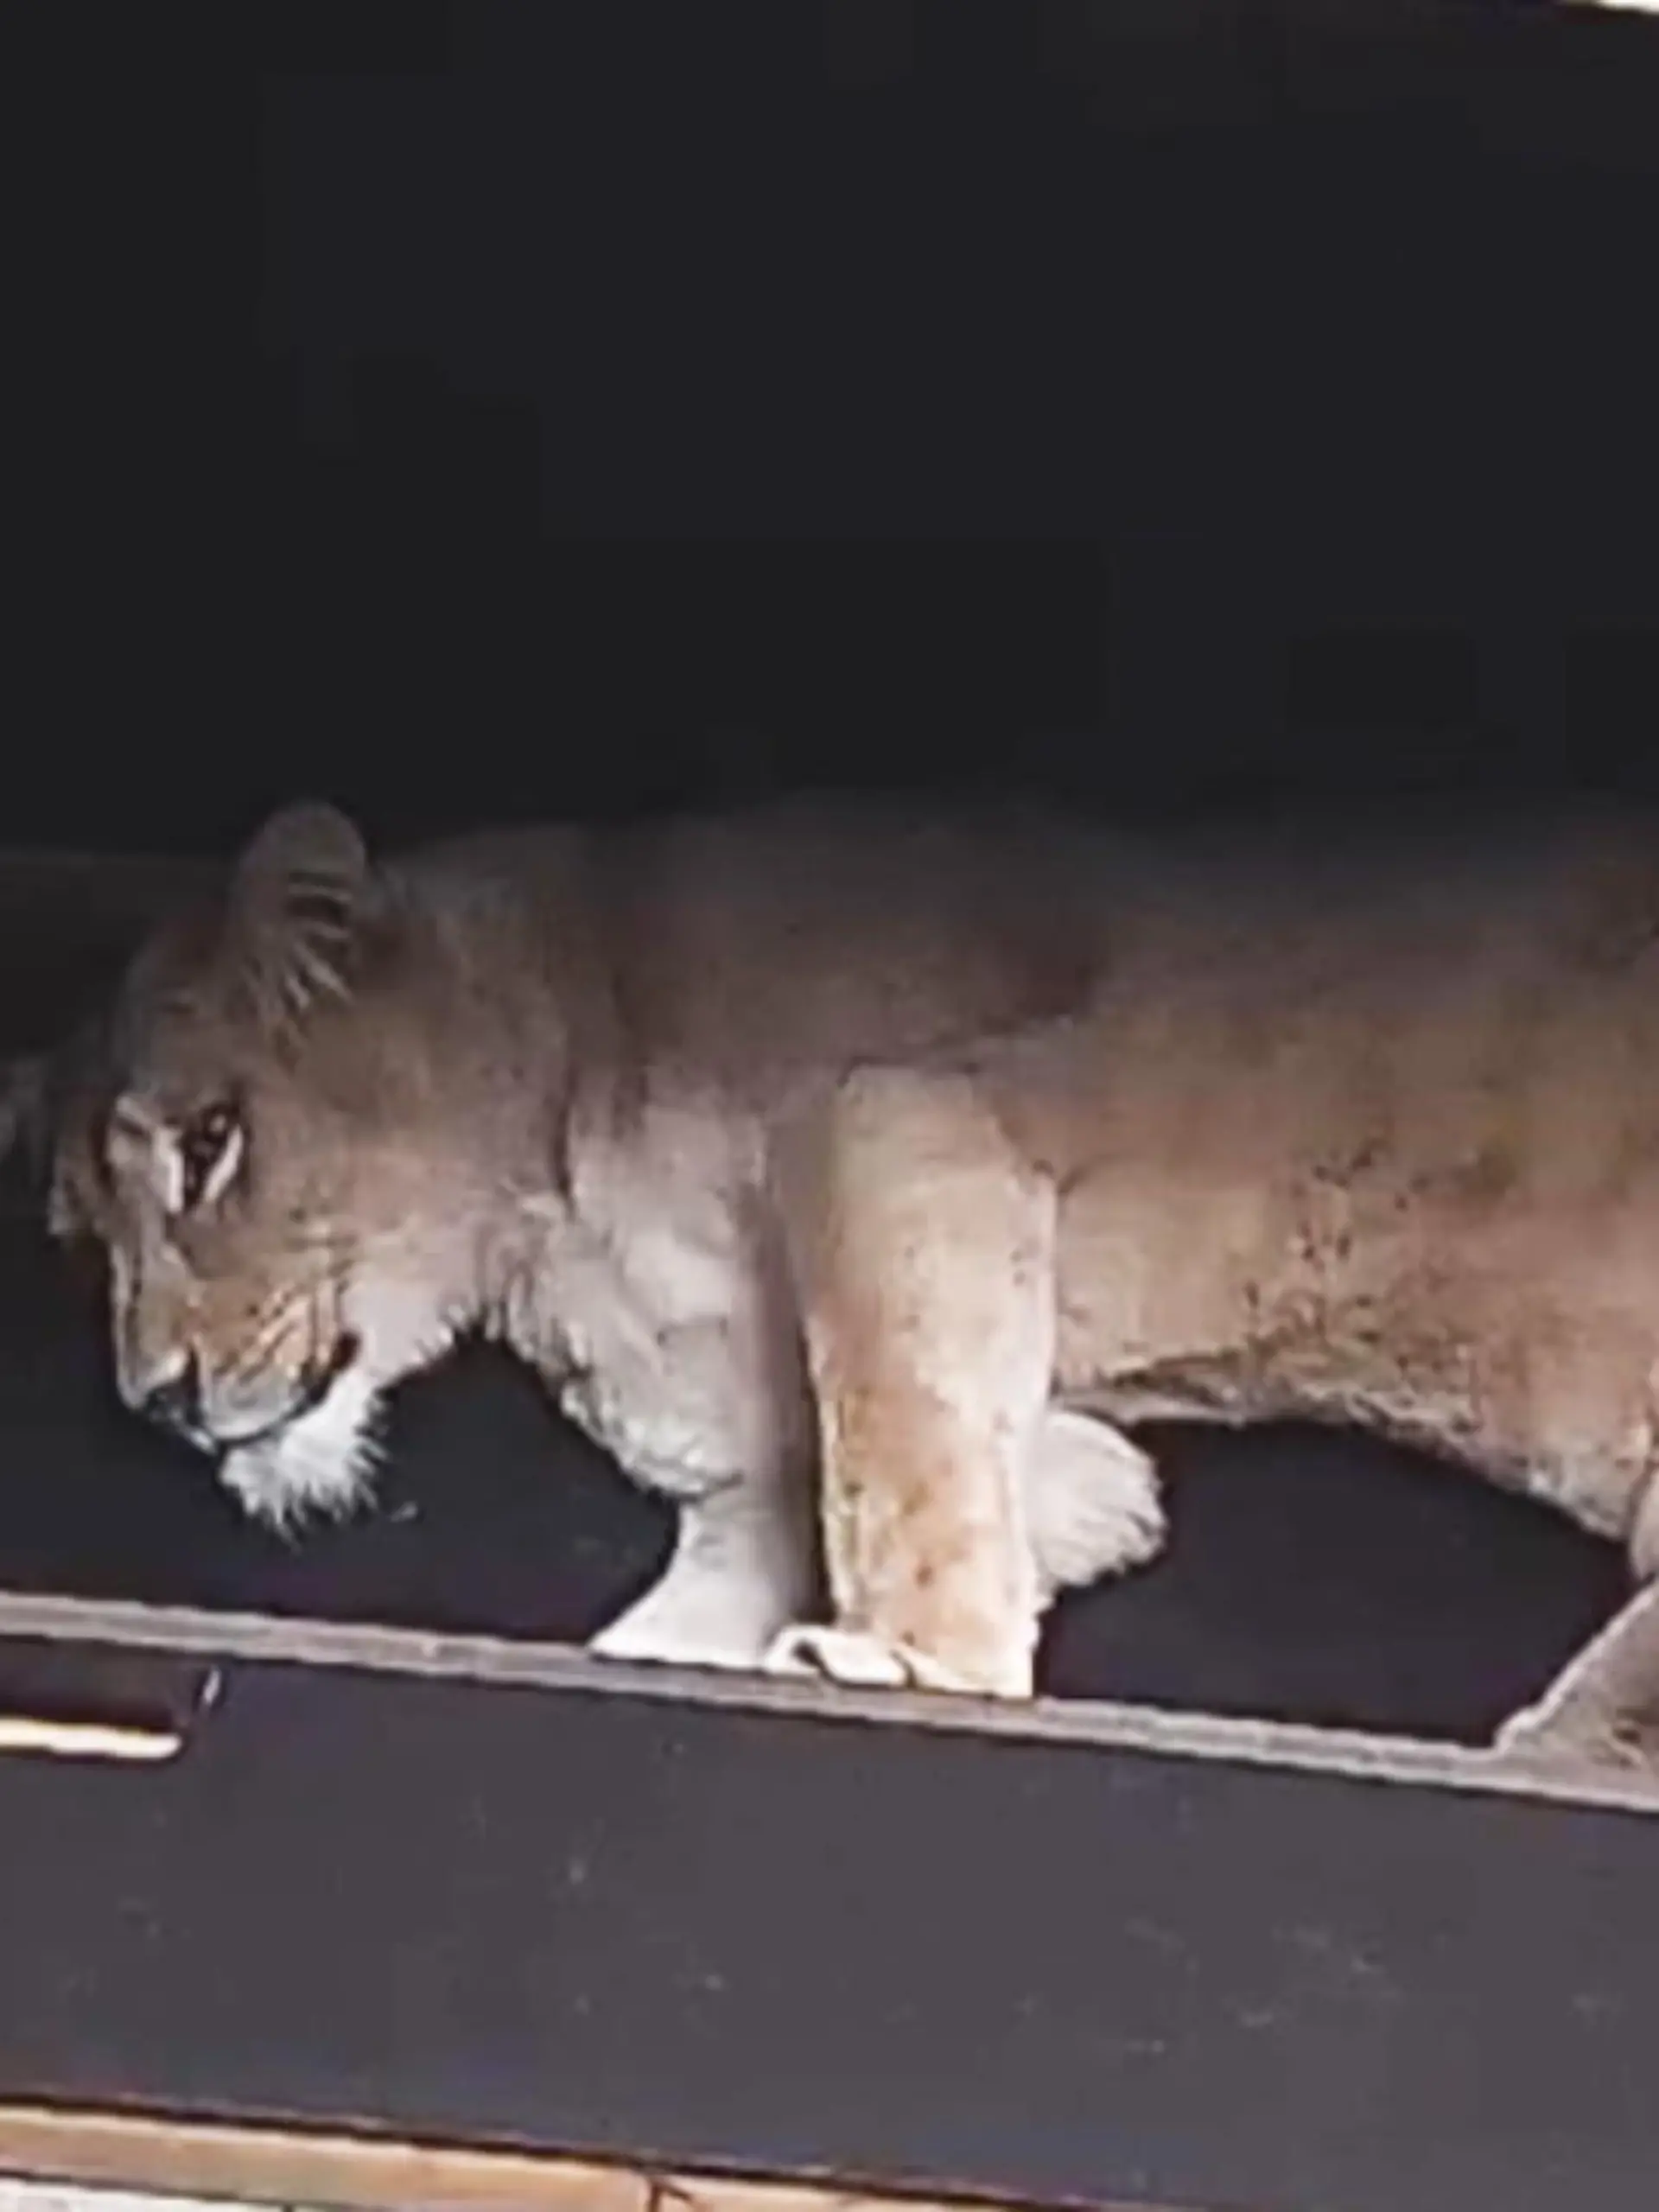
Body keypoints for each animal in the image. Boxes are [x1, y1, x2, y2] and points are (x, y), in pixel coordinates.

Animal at [17, 795, 1659, 1755]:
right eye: (83, 1239)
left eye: (211, 1142)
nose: (157, 1401)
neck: (545, 1202)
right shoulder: (760, 1490)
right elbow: (691, 1619)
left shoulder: (904, 1112)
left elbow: (899, 1442)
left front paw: (908, 1673)